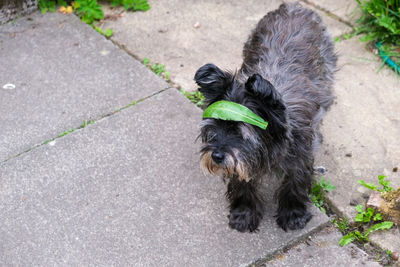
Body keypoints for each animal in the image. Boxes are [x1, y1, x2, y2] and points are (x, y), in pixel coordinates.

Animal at [194, 2, 338, 232]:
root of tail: (294, 6)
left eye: (241, 133)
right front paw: (244, 213)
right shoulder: (243, 162)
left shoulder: (300, 156)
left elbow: (295, 183)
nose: (216, 156)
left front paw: (293, 214)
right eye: (213, 129)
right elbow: (243, 183)